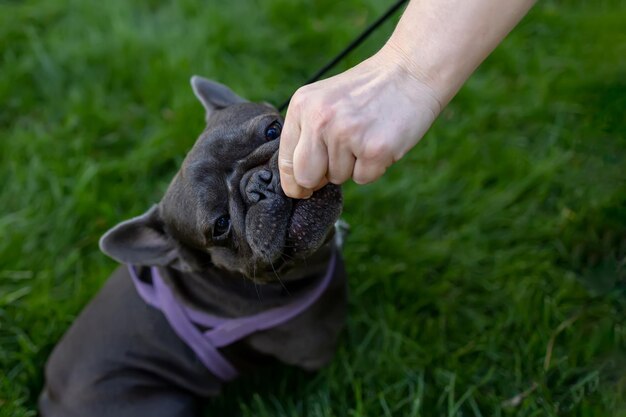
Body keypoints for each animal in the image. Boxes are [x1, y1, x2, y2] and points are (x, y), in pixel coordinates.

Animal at [40, 77, 346, 416]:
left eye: (273, 130)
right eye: (221, 225)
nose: (259, 183)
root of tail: (49, 401)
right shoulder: (316, 348)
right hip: (166, 403)